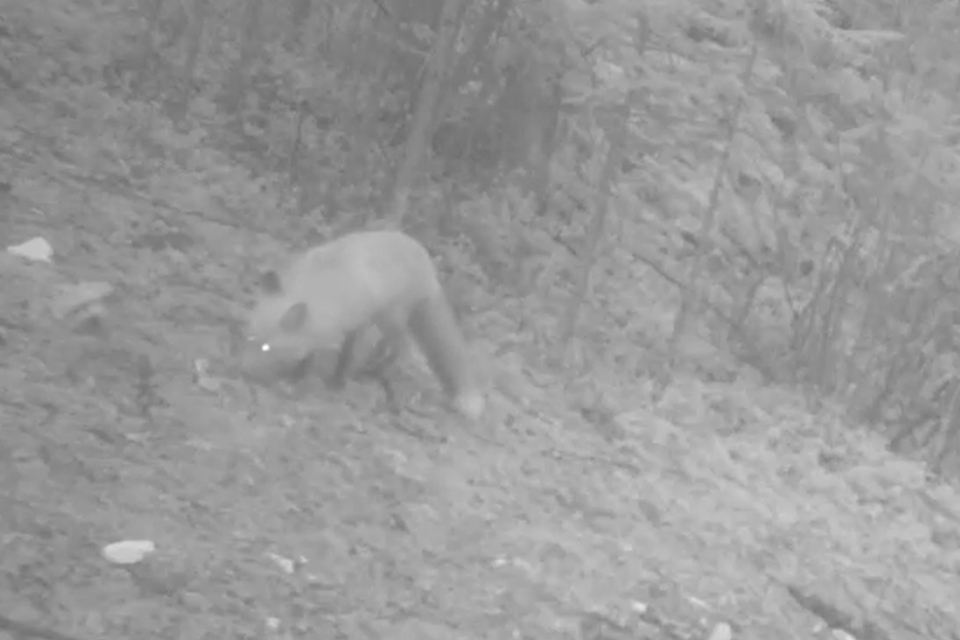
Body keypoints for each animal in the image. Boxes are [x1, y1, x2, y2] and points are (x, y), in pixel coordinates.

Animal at [239, 230, 485, 419]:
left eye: (266, 348)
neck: (324, 287)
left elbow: (347, 356)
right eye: (248, 338)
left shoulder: (360, 322)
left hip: (391, 318)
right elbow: (309, 354)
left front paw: (336, 384)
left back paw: (376, 370)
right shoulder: (322, 327)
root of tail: (428, 265)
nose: (239, 369)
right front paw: (297, 375)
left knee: (403, 349)